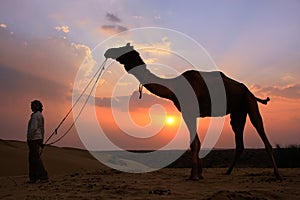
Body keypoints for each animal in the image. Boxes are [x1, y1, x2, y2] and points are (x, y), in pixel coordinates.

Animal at [104, 43, 280, 180]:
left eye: (122, 49)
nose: (107, 51)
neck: (174, 87)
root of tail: (250, 91)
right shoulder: (190, 113)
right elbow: (197, 142)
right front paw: (199, 174)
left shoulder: (189, 112)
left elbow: (194, 143)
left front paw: (193, 176)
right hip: (238, 111)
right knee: (239, 142)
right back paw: (227, 172)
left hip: (249, 102)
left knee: (261, 132)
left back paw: (277, 175)